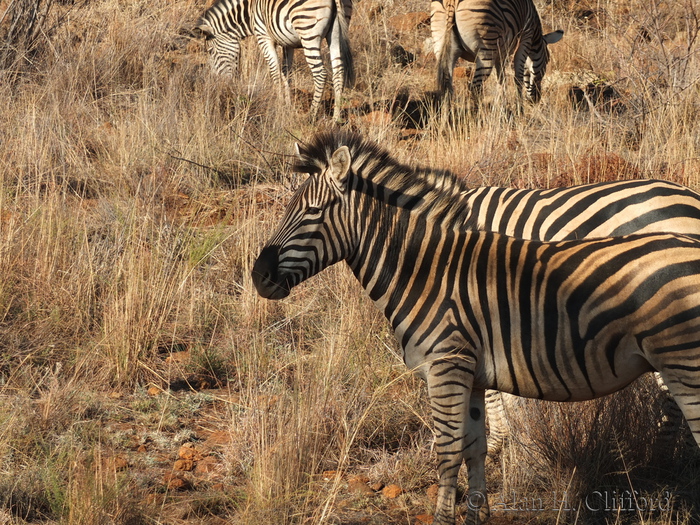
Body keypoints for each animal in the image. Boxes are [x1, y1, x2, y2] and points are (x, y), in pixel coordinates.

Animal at [195, 0, 354, 120]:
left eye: (210, 51)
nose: (217, 83)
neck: (249, 12)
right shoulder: (288, 43)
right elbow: (286, 73)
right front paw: (288, 106)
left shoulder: (264, 37)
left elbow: (275, 73)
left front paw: (279, 107)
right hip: (336, 32)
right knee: (339, 72)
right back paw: (335, 119)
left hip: (308, 31)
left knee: (320, 74)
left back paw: (311, 116)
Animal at [251, 131, 700, 525]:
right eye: (287, 209)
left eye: (312, 213)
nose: (258, 276)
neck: (430, 267)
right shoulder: (477, 365)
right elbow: (473, 446)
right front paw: (478, 505)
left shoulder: (450, 362)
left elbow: (450, 450)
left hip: (683, 362)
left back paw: (662, 467)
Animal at [431, 0, 564, 102]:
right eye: (547, 61)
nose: (536, 100)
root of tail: (452, 2)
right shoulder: (526, 37)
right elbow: (518, 77)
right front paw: (519, 111)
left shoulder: (501, 54)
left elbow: (502, 81)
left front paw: (503, 109)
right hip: (486, 51)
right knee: (475, 87)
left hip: (442, 46)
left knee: (447, 87)